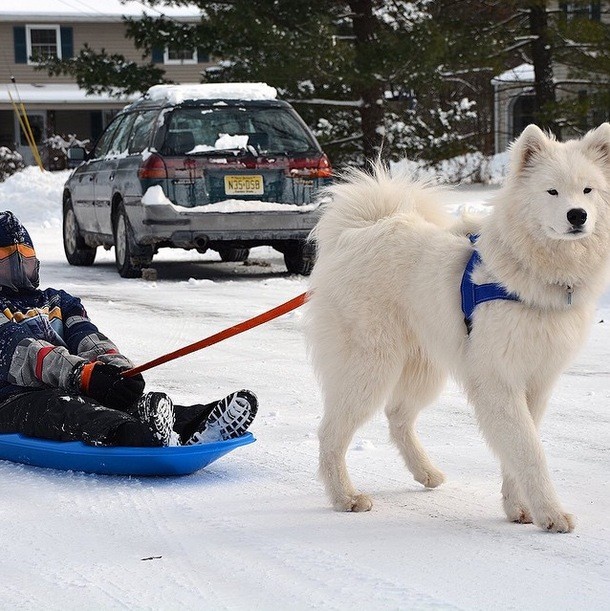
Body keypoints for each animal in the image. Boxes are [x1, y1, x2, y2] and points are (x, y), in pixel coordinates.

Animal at [306, 123, 608, 532]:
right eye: (552, 191)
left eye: (588, 190)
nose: (578, 216)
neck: (528, 274)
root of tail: (359, 231)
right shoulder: (500, 379)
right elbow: (529, 450)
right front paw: (551, 514)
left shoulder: (537, 382)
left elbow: (516, 450)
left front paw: (519, 509)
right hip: (370, 366)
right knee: (331, 433)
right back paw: (346, 497)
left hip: (424, 367)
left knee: (397, 416)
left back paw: (426, 473)